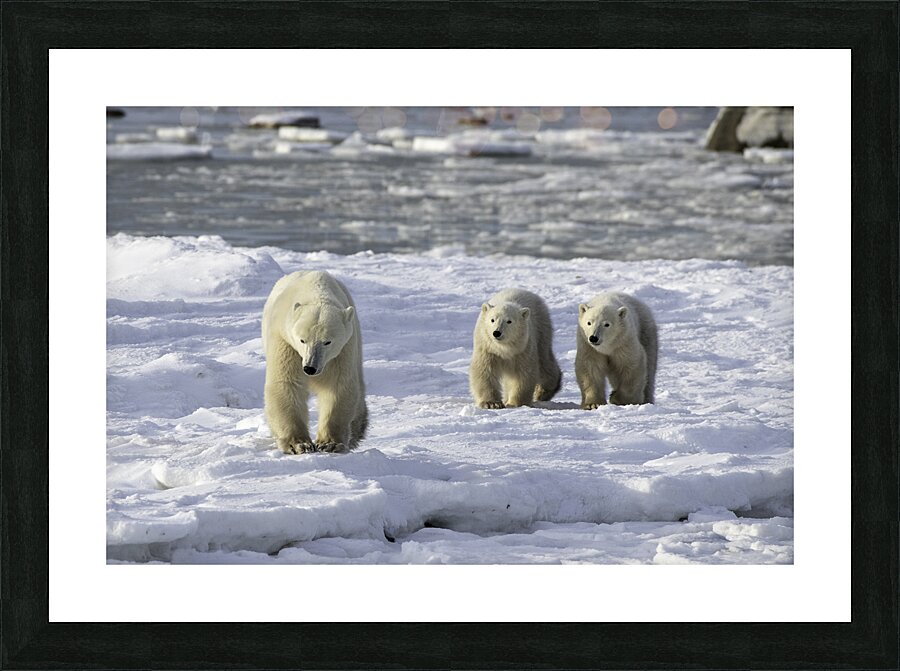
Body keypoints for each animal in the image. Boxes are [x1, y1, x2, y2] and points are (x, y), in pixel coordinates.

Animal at [262, 270, 367, 454]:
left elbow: (337, 385)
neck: (315, 291)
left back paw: (357, 431)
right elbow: (287, 383)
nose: (310, 368)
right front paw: (299, 444)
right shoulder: (285, 340)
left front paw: (329, 443)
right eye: (302, 340)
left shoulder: (343, 349)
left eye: (327, 342)